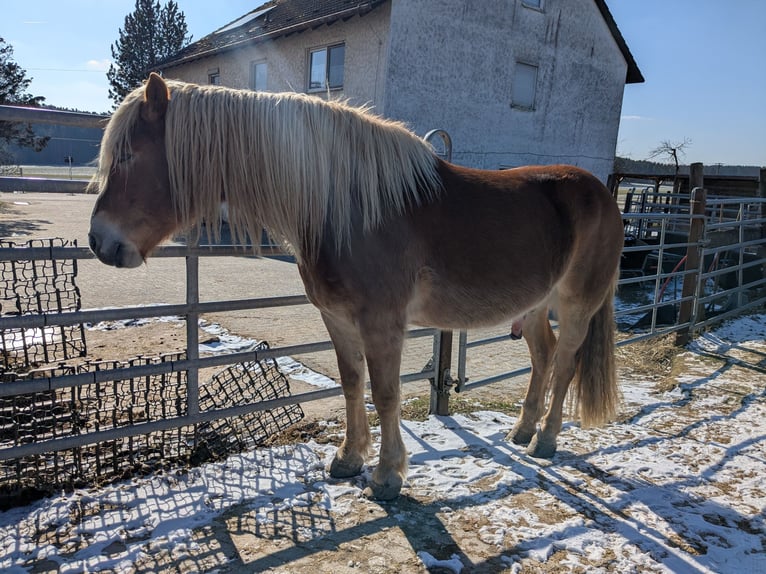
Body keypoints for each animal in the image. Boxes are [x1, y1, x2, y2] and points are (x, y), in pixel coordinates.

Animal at [90, 74, 628, 502]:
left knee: (565, 363)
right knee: (542, 357)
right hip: (536, 305)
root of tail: (601, 193)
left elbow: (386, 393)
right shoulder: (336, 317)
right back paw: (521, 430)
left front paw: (388, 476)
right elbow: (353, 384)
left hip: (576, 304)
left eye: (130, 154)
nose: (99, 242)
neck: (343, 206)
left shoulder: (382, 324)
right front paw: (349, 460)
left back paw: (546, 440)